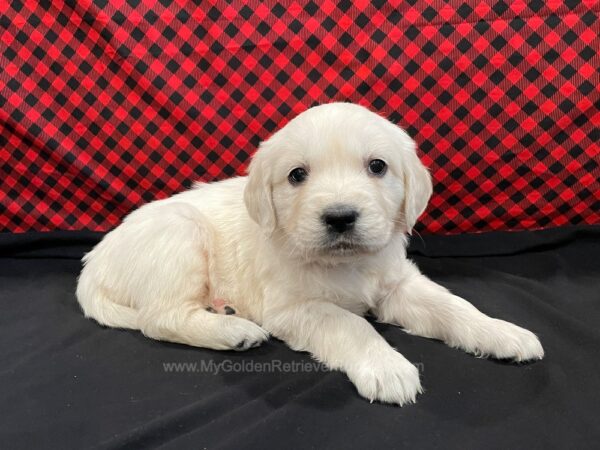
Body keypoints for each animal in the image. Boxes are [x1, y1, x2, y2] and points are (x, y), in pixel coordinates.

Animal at [76, 103, 544, 406]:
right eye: (297, 175)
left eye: (377, 166)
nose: (340, 217)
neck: (345, 264)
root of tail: (91, 265)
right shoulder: (292, 307)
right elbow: (351, 324)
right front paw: (386, 366)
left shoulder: (398, 284)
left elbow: (454, 306)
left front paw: (500, 332)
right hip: (180, 234)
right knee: (159, 319)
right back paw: (233, 330)